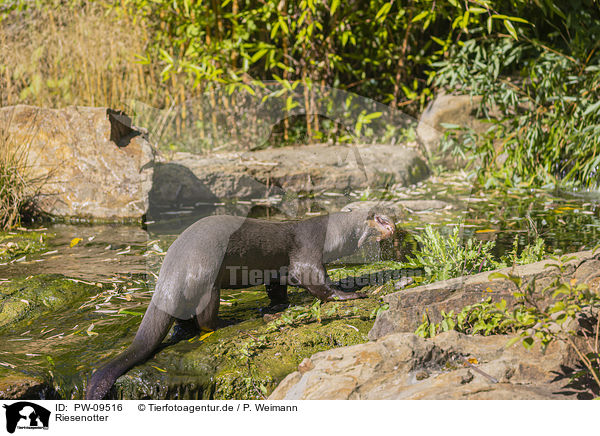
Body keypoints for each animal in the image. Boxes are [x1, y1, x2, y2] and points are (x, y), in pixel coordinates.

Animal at [84, 209, 394, 400]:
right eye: (377, 219)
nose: (391, 224)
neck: (326, 232)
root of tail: (171, 269)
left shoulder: (278, 271)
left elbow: (277, 290)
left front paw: (271, 308)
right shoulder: (307, 252)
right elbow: (316, 281)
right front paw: (350, 293)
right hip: (208, 278)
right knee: (206, 318)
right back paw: (227, 321)